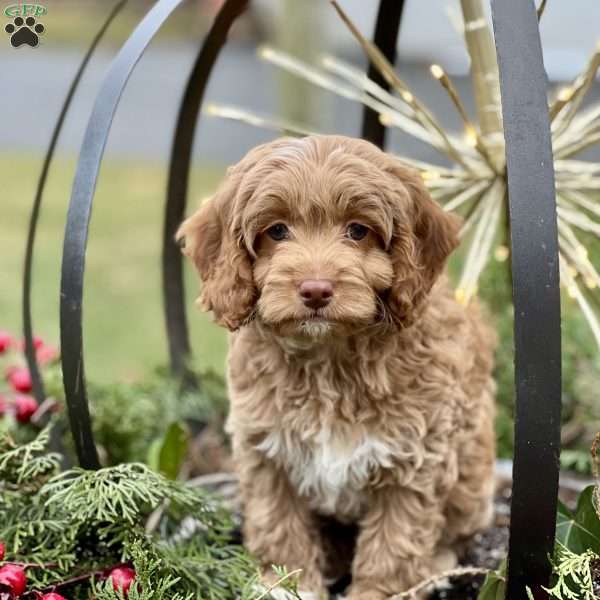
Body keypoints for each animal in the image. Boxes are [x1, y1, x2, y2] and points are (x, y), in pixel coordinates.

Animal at [179, 136, 496, 600]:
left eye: (358, 231)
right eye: (277, 230)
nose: (315, 289)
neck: (327, 356)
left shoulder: (414, 459)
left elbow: (395, 540)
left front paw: (380, 592)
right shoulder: (266, 450)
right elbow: (279, 524)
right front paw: (288, 584)